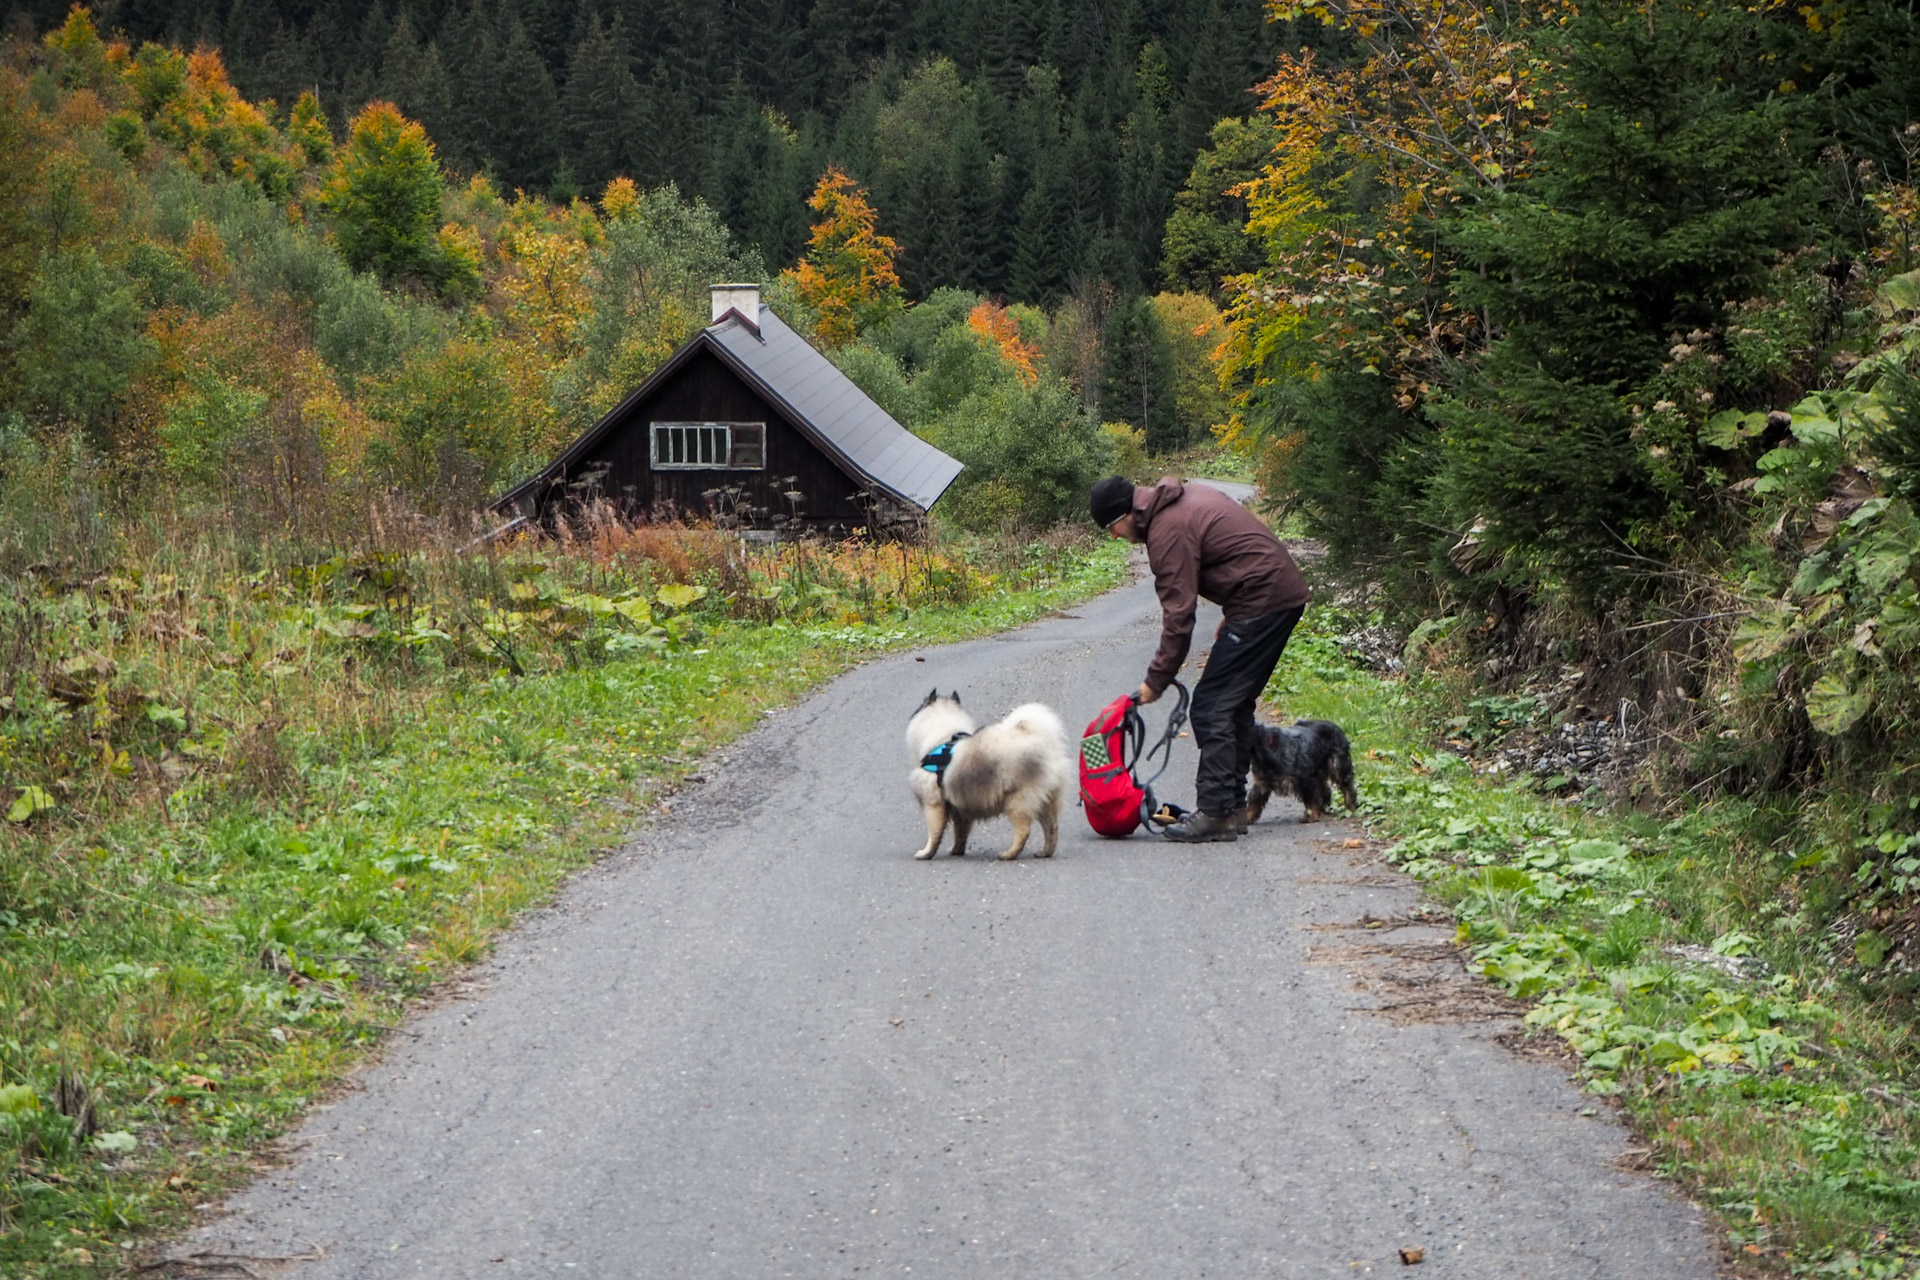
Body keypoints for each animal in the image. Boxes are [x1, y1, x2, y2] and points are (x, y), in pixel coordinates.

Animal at [906, 690, 1075, 859]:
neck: (943, 738)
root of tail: (1043, 743)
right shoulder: (960, 809)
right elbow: (960, 833)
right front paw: (956, 850)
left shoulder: (933, 803)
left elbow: (934, 833)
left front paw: (926, 853)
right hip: (1047, 800)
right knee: (1051, 827)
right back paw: (1044, 852)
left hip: (1017, 802)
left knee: (1023, 831)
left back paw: (1008, 854)